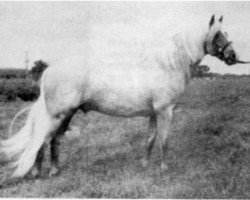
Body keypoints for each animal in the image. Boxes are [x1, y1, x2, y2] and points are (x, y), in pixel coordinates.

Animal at [0, 14, 241, 179]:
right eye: (217, 35)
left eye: (227, 34)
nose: (233, 56)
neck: (167, 65)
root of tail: (49, 70)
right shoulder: (165, 111)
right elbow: (164, 139)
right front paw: (164, 168)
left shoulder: (153, 113)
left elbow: (150, 139)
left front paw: (144, 165)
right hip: (58, 115)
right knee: (43, 140)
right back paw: (37, 173)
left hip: (66, 115)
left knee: (55, 141)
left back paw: (54, 171)